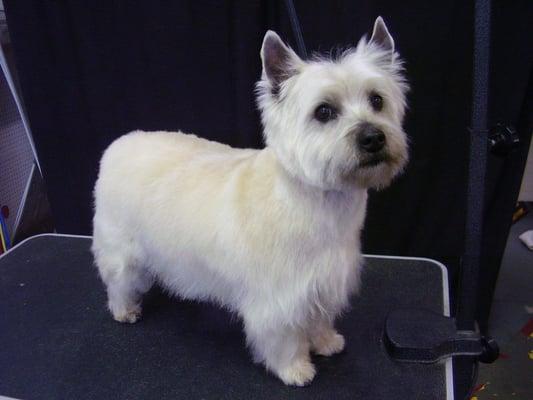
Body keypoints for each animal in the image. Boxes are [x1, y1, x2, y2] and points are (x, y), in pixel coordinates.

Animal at [91, 17, 408, 386]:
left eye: (377, 100)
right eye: (324, 111)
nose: (373, 137)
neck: (318, 199)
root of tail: (120, 144)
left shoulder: (323, 282)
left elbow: (318, 317)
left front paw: (325, 341)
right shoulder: (278, 298)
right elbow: (284, 337)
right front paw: (295, 369)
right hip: (120, 247)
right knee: (118, 281)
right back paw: (124, 310)